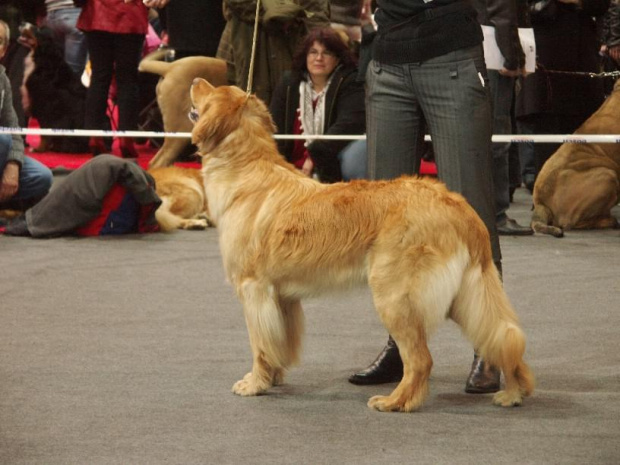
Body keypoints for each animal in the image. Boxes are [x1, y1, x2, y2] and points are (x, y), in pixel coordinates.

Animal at [189, 78, 532, 412]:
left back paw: (395, 401)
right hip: (466, 294)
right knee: (506, 337)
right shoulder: (282, 297)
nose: (194, 78)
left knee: (421, 359)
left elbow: (260, 345)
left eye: (212, 89)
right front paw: (272, 378)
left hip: (394, 293)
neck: (244, 167)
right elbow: (278, 345)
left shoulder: (254, 289)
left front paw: (255, 384)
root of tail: (458, 205)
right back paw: (514, 392)